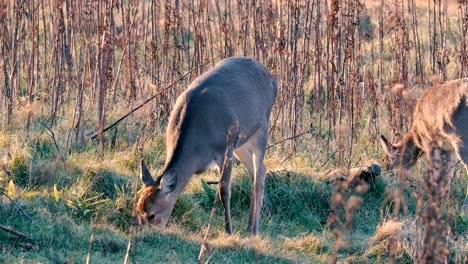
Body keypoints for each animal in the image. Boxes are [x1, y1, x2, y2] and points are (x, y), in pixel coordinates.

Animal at [132, 56, 278, 234]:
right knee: (258, 171)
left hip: (261, 130)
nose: (144, 232)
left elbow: (223, 190)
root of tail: (271, 78)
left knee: (258, 174)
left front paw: (228, 230)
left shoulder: (225, 149)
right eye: (138, 209)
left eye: (152, 215)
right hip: (241, 143)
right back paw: (251, 226)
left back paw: (253, 229)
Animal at [380, 77, 468, 213]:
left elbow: (436, 175)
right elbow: (448, 174)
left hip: (461, 138)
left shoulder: (431, 142)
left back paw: (464, 209)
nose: (388, 179)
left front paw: (434, 203)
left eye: (388, 163)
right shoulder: (449, 148)